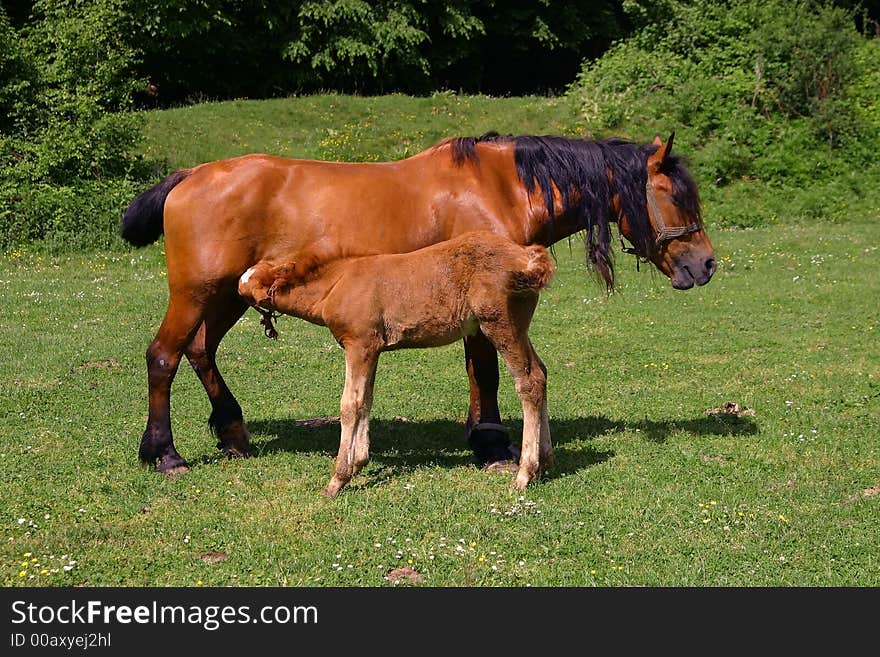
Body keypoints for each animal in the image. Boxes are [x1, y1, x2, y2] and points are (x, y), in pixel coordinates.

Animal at [239, 231, 556, 492]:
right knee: (541, 373)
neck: (337, 284)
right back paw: (545, 462)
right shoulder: (372, 350)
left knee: (529, 382)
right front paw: (359, 463)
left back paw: (525, 473)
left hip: (501, 324)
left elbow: (350, 404)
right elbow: (366, 399)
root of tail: (527, 258)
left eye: (250, 283)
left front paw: (338, 478)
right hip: (519, 327)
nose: (234, 285)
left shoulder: (359, 344)